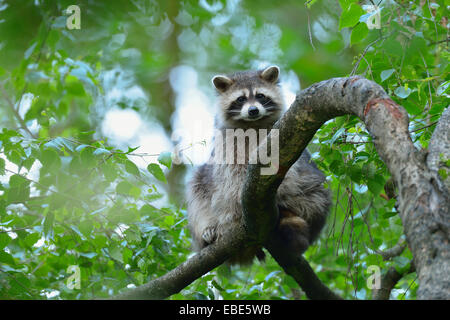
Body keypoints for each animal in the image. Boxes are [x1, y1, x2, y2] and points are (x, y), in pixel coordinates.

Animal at [185, 65, 330, 264]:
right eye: (240, 99)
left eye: (260, 96)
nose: (253, 110)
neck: (252, 124)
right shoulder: (227, 144)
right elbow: (231, 174)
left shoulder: (284, 138)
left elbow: (286, 171)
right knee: (199, 184)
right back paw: (210, 229)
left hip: (310, 197)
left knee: (316, 191)